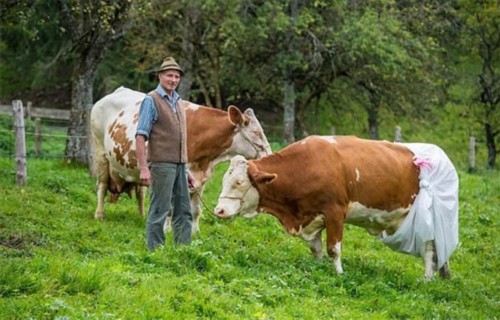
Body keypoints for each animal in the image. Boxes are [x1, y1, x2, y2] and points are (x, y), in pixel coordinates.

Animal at [90, 85, 270, 232]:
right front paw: (167, 230)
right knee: (102, 186)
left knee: (140, 193)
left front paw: (194, 232)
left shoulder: (200, 179)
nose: (268, 155)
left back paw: (142, 217)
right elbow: (170, 208)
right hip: (100, 153)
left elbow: (195, 210)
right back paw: (99, 214)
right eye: (256, 132)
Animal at [213, 134, 458, 278]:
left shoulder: (335, 212)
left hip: (428, 220)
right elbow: (316, 248)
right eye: (224, 179)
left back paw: (427, 278)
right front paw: (318, 268)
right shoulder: (311, 218)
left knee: (429, 249)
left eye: (239, 182)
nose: (219, 210)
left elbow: (333, 248)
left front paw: (339, 274)